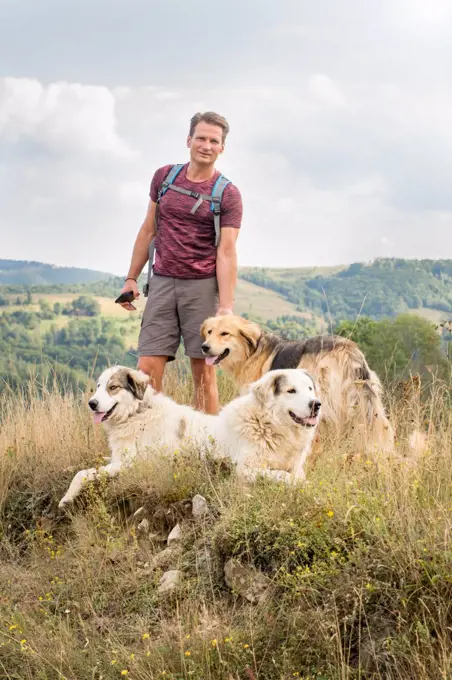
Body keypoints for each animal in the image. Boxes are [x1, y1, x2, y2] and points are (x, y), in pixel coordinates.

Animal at [58, 364, 322, 508]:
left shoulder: (130, 464)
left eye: (113, 387)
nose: (316, 404)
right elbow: (83, 472)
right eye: (99, 387)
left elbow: (287, 476)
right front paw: (67, 498)